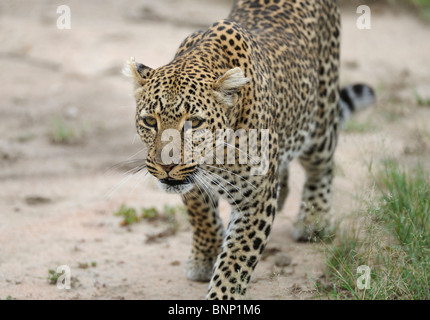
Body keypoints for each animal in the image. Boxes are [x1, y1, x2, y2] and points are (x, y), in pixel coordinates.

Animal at [122, 0, 374, 300]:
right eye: (150, 121)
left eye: (194, 123)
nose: (166, 166)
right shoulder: (192, 180)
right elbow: (200, 214)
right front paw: (205, 258)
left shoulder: (256, 199)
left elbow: (236, 260)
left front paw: (220, 295)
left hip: (321, 120)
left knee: (321, 166)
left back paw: (315, 220)